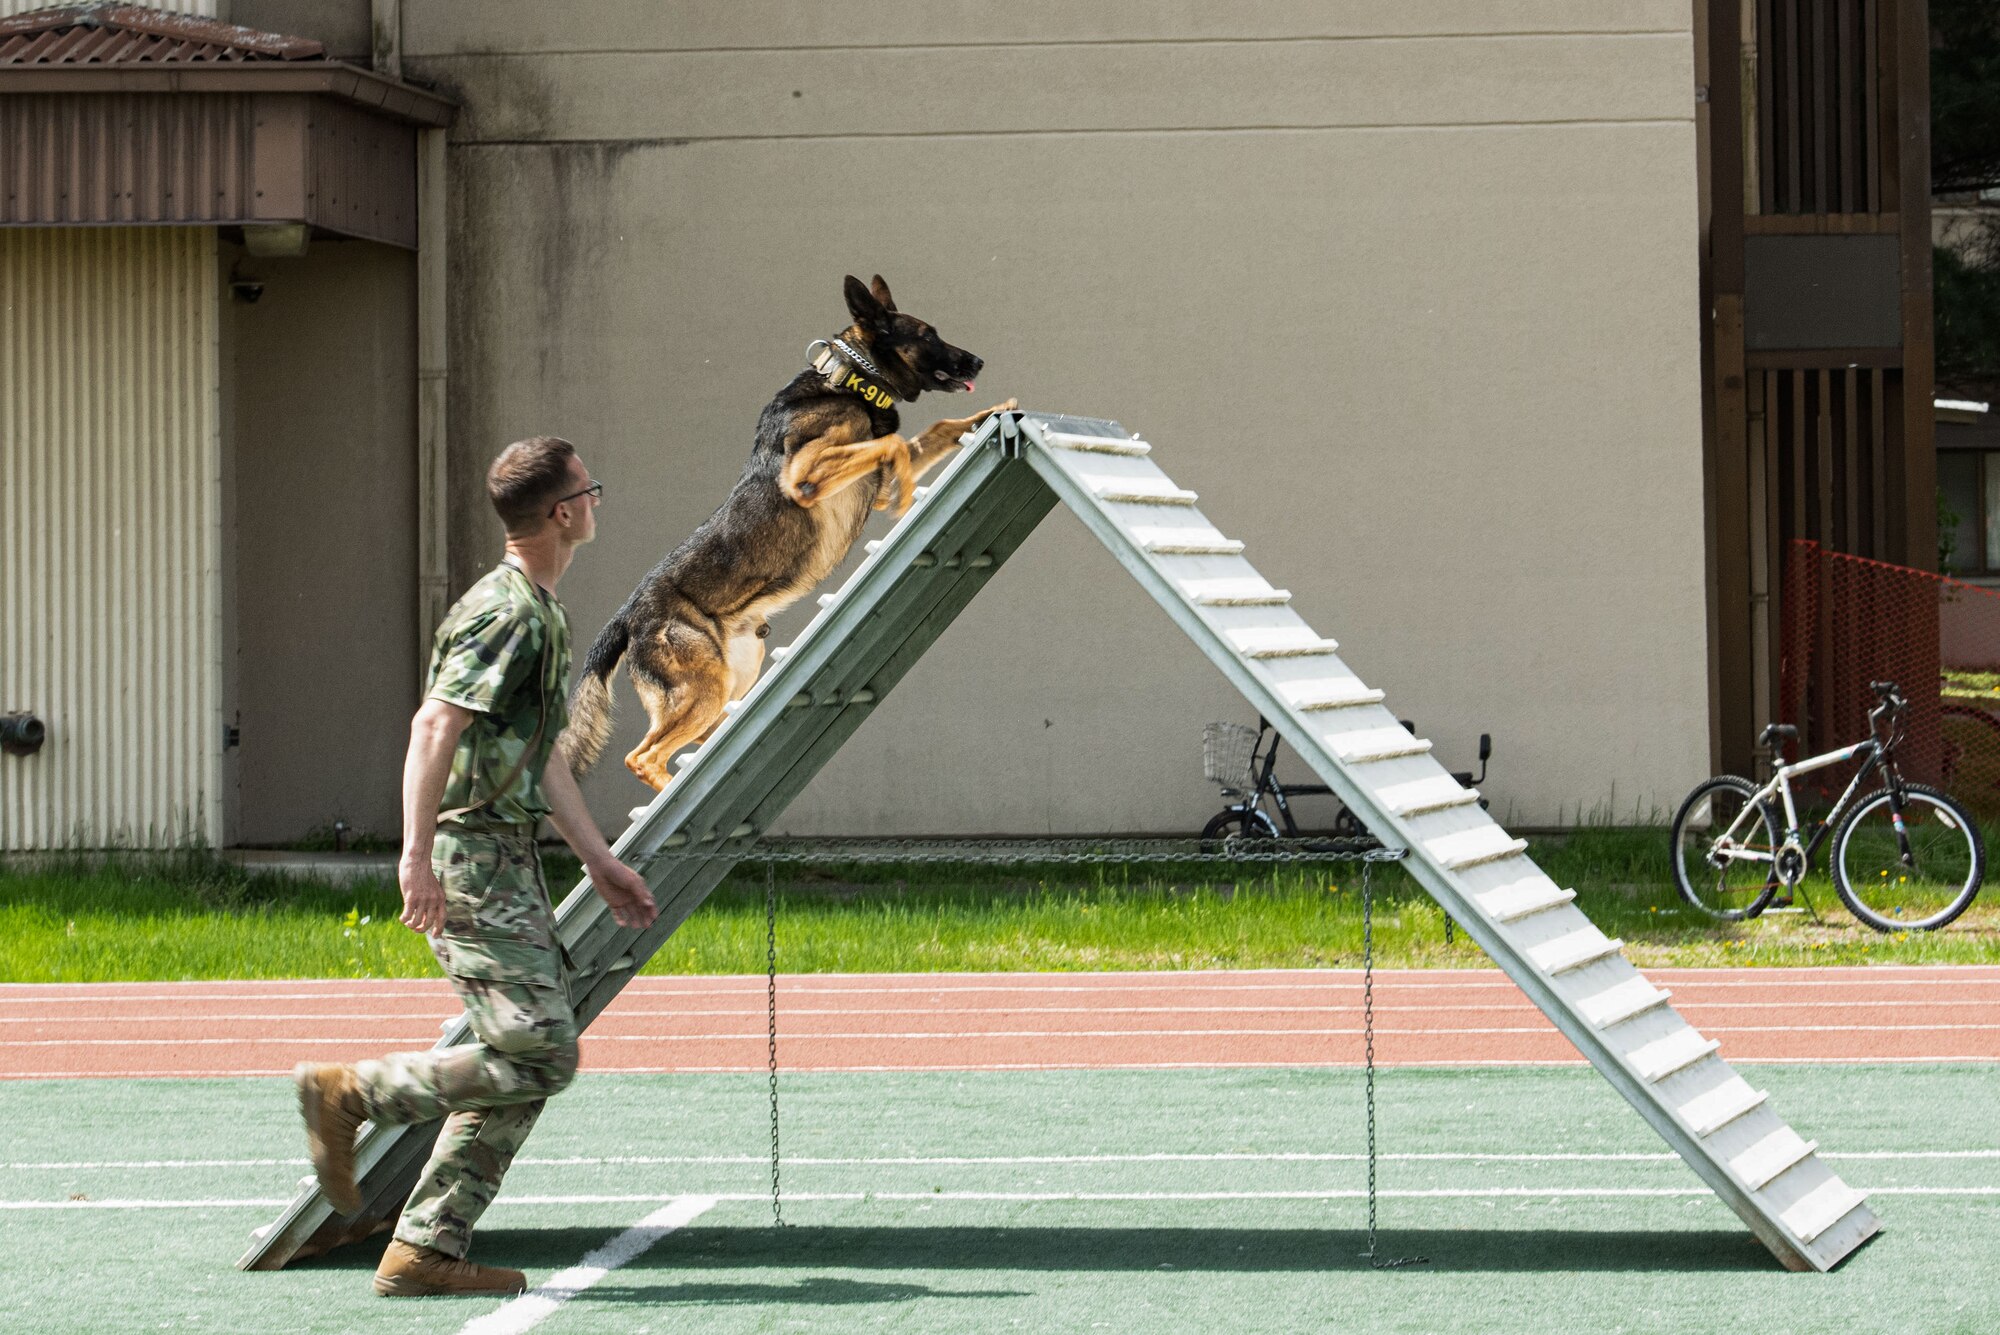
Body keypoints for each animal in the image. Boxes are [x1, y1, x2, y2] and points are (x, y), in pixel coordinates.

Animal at [564, 275, 1016, 787]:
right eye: (927, 335)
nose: (978, 361)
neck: (849, 381)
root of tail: (627, 615)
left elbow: (934, 428)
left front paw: (994, 411)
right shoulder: (807, 474)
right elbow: (893, 444)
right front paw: (905, 497)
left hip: (734, 676)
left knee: (702, 738)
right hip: (703, 686)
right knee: (643, 757)